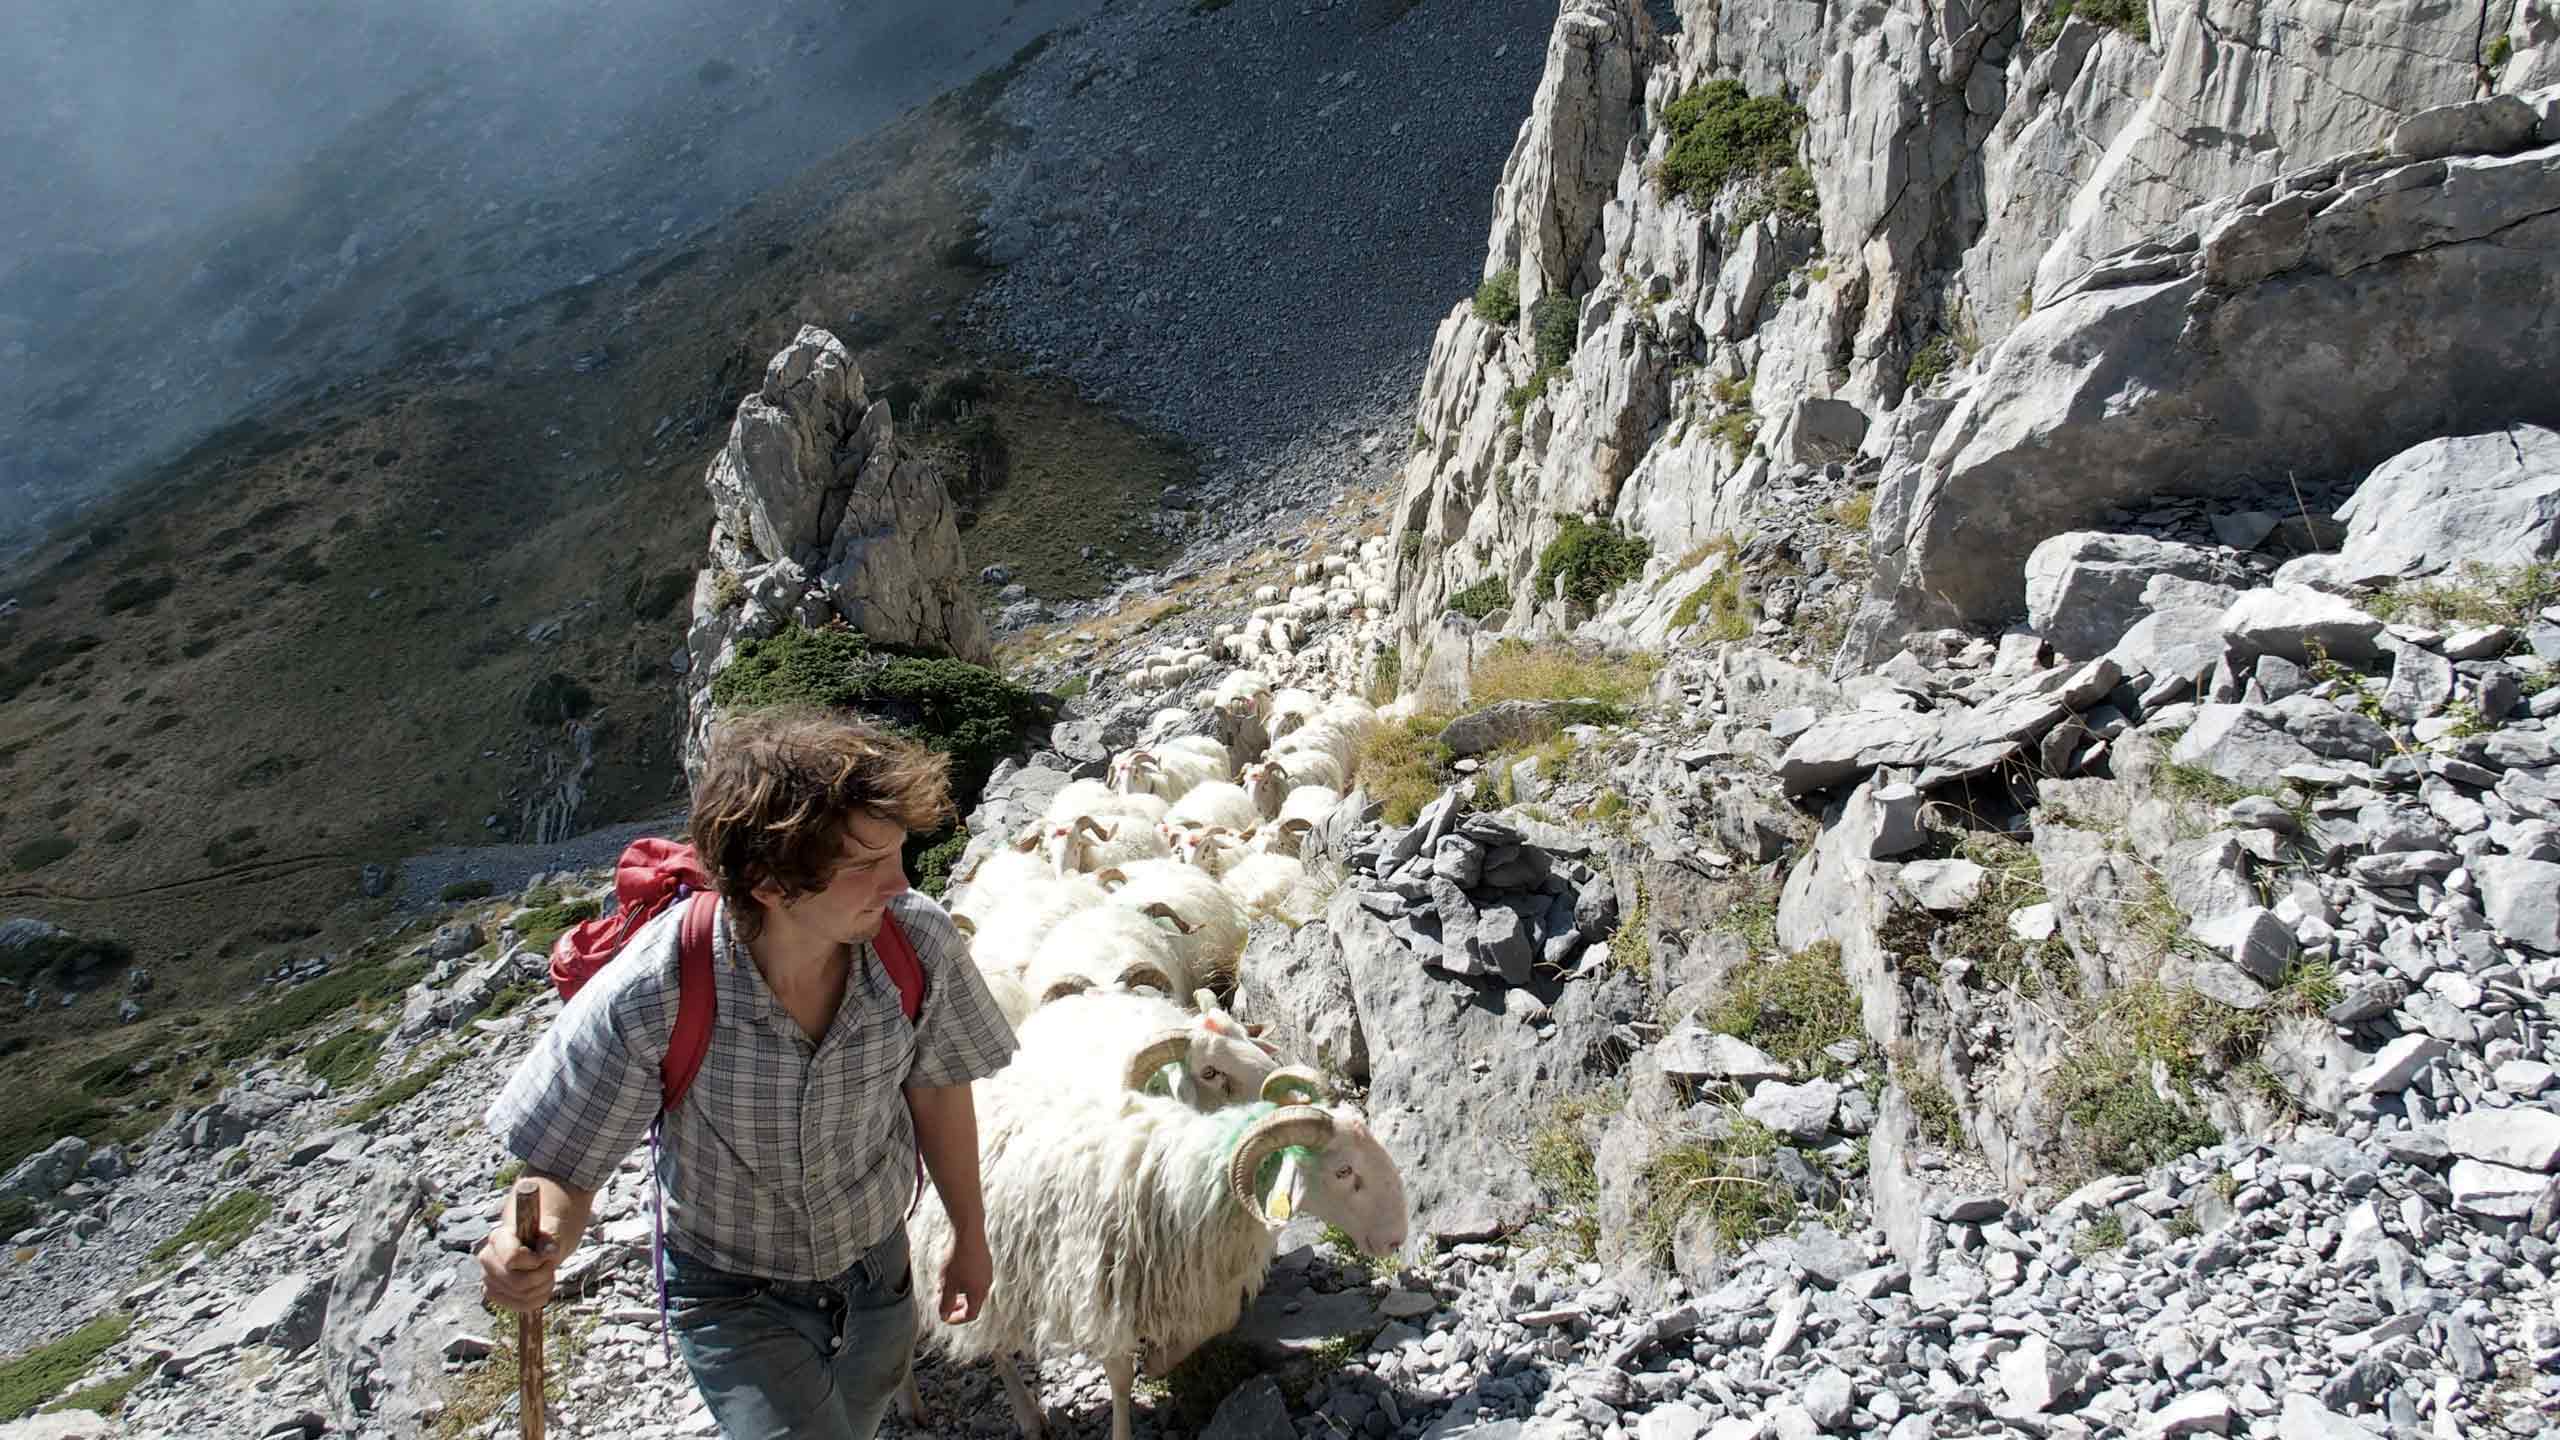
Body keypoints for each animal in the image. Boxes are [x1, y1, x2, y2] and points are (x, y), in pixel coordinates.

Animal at [911, 1086, 1413, 1434]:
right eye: (1344, 1172)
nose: (1396, 1239)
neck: (1187, 1183)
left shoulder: (1197, 1291)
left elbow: (1195, 1336)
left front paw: (1158, 1361)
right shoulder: (1104, 1294)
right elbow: (1118, 1378)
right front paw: (1122, 1429)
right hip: (968, 1263)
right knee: (988, 1342)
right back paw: (1016, 1414)